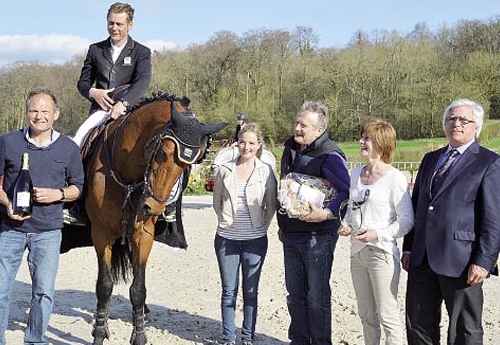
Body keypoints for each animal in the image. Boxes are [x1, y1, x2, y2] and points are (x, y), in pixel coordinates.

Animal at [85, 92, 227, 344]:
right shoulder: (101, 234)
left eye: (188, 165)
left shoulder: (143, 236)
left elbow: (138, 289)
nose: (152, 207)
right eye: (162, 152)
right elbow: (104, 286)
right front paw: (99, 332)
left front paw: (139, 334)